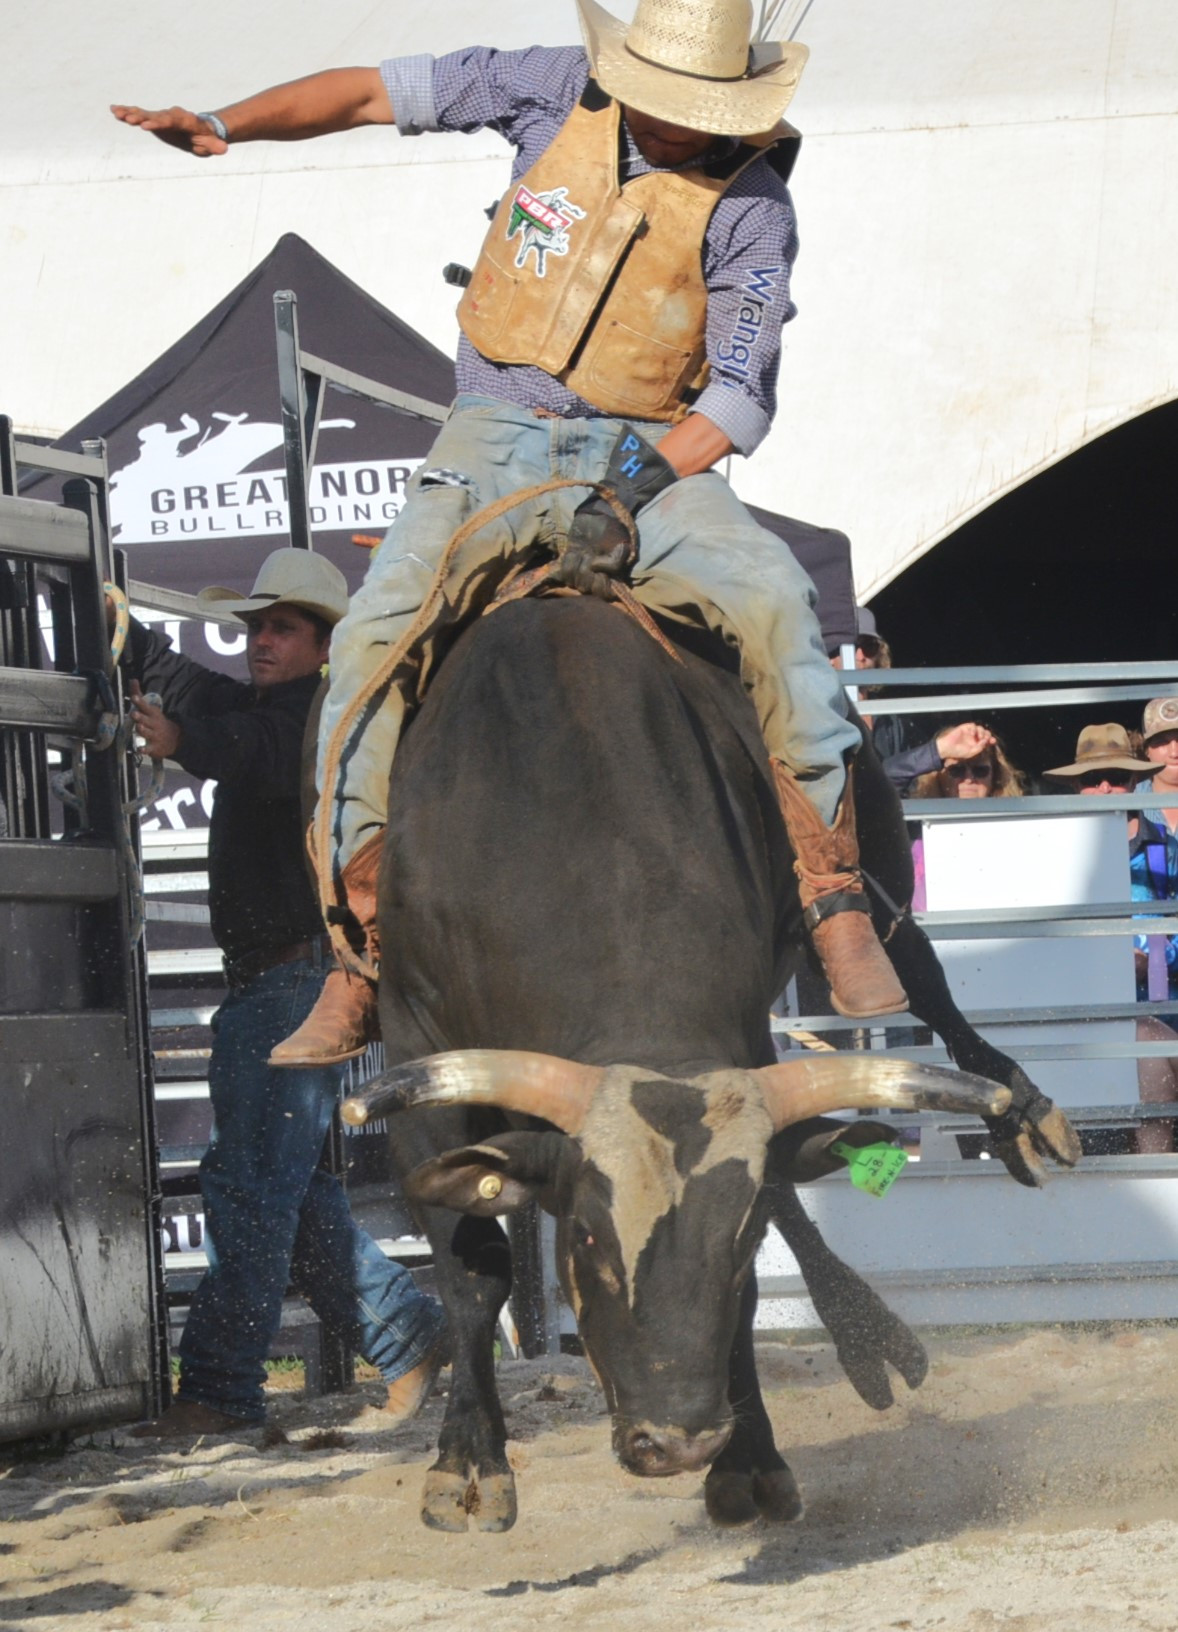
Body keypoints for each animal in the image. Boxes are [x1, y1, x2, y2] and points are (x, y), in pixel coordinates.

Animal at [337, 597, 1076, 1527]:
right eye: (585, 1233)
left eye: (740, 1235)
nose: (680, 1441)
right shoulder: (415, 1046)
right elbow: (471, 1270)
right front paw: (468, 1465)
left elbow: (767, 1250)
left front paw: (749, 1460)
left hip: (874, 839)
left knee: (915, 968)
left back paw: (1017, 1121)